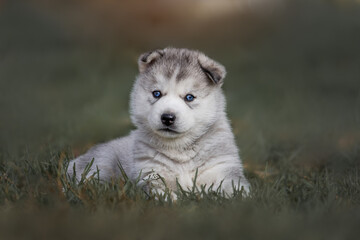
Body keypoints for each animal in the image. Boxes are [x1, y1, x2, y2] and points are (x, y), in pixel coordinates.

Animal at [69, 47, 250, 197]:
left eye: (189, 97)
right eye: (157, 93)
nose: (167, 117)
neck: (180, 151)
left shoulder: (223, 169)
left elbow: (236, 188)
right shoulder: (151, 172)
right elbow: (160, 192)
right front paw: (172, 201)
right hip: (102, 163)